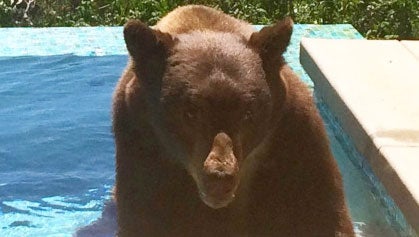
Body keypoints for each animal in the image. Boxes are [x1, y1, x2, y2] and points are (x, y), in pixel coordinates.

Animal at [112, 4, 354, 237]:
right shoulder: (143, 148)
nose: (220, 178)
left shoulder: (296, 140)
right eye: (190, 113)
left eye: (247, 113)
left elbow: (322, 213)